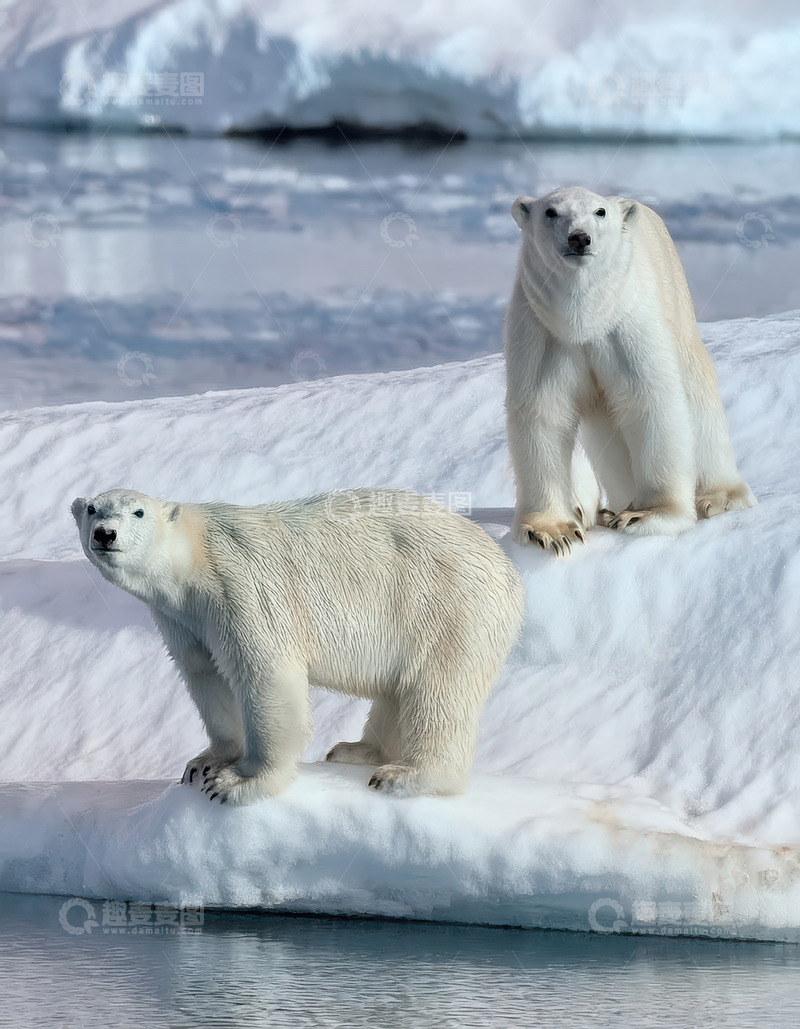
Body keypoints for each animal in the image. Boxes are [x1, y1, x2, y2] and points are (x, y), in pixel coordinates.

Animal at [72, 488, 525, 805]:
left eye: (138, 511)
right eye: (92, 509)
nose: (105, 534)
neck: (195, 559)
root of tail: (507, 570)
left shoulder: (241, 589)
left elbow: (266, 676)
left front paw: (238, 782)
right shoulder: (181, 618)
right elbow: (206, 675)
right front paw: (205, 762)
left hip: (448, 608)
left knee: (438, 690)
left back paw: (405, 776)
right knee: (398, 690)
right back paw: (356, 750)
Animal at [504, 185, 755, 555]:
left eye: (600, 211)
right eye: (550, 211)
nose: (579, 238)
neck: (584, 318)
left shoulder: (626, 327)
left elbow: (650, 401)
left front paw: (647, 515)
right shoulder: (544, 332)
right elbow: (543, 410)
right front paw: (553, 531)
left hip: (675, 297)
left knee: (696, 389)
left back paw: (719, 496)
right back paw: (594, 508)